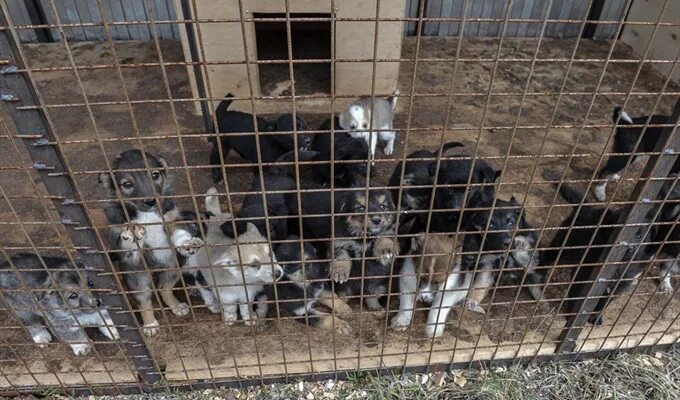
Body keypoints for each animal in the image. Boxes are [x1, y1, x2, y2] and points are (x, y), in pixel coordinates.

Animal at [99, 148, 187, 336]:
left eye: (155, 175)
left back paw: (176, 305)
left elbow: (175, 229)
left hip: (175, 266)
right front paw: (132, 234)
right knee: (144, 300)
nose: (150, 201)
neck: (147, 215)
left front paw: (186, 241)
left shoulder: (170, 217)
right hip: (137, 277)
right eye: (127, 184)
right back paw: (150, 324)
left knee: (164, 288)